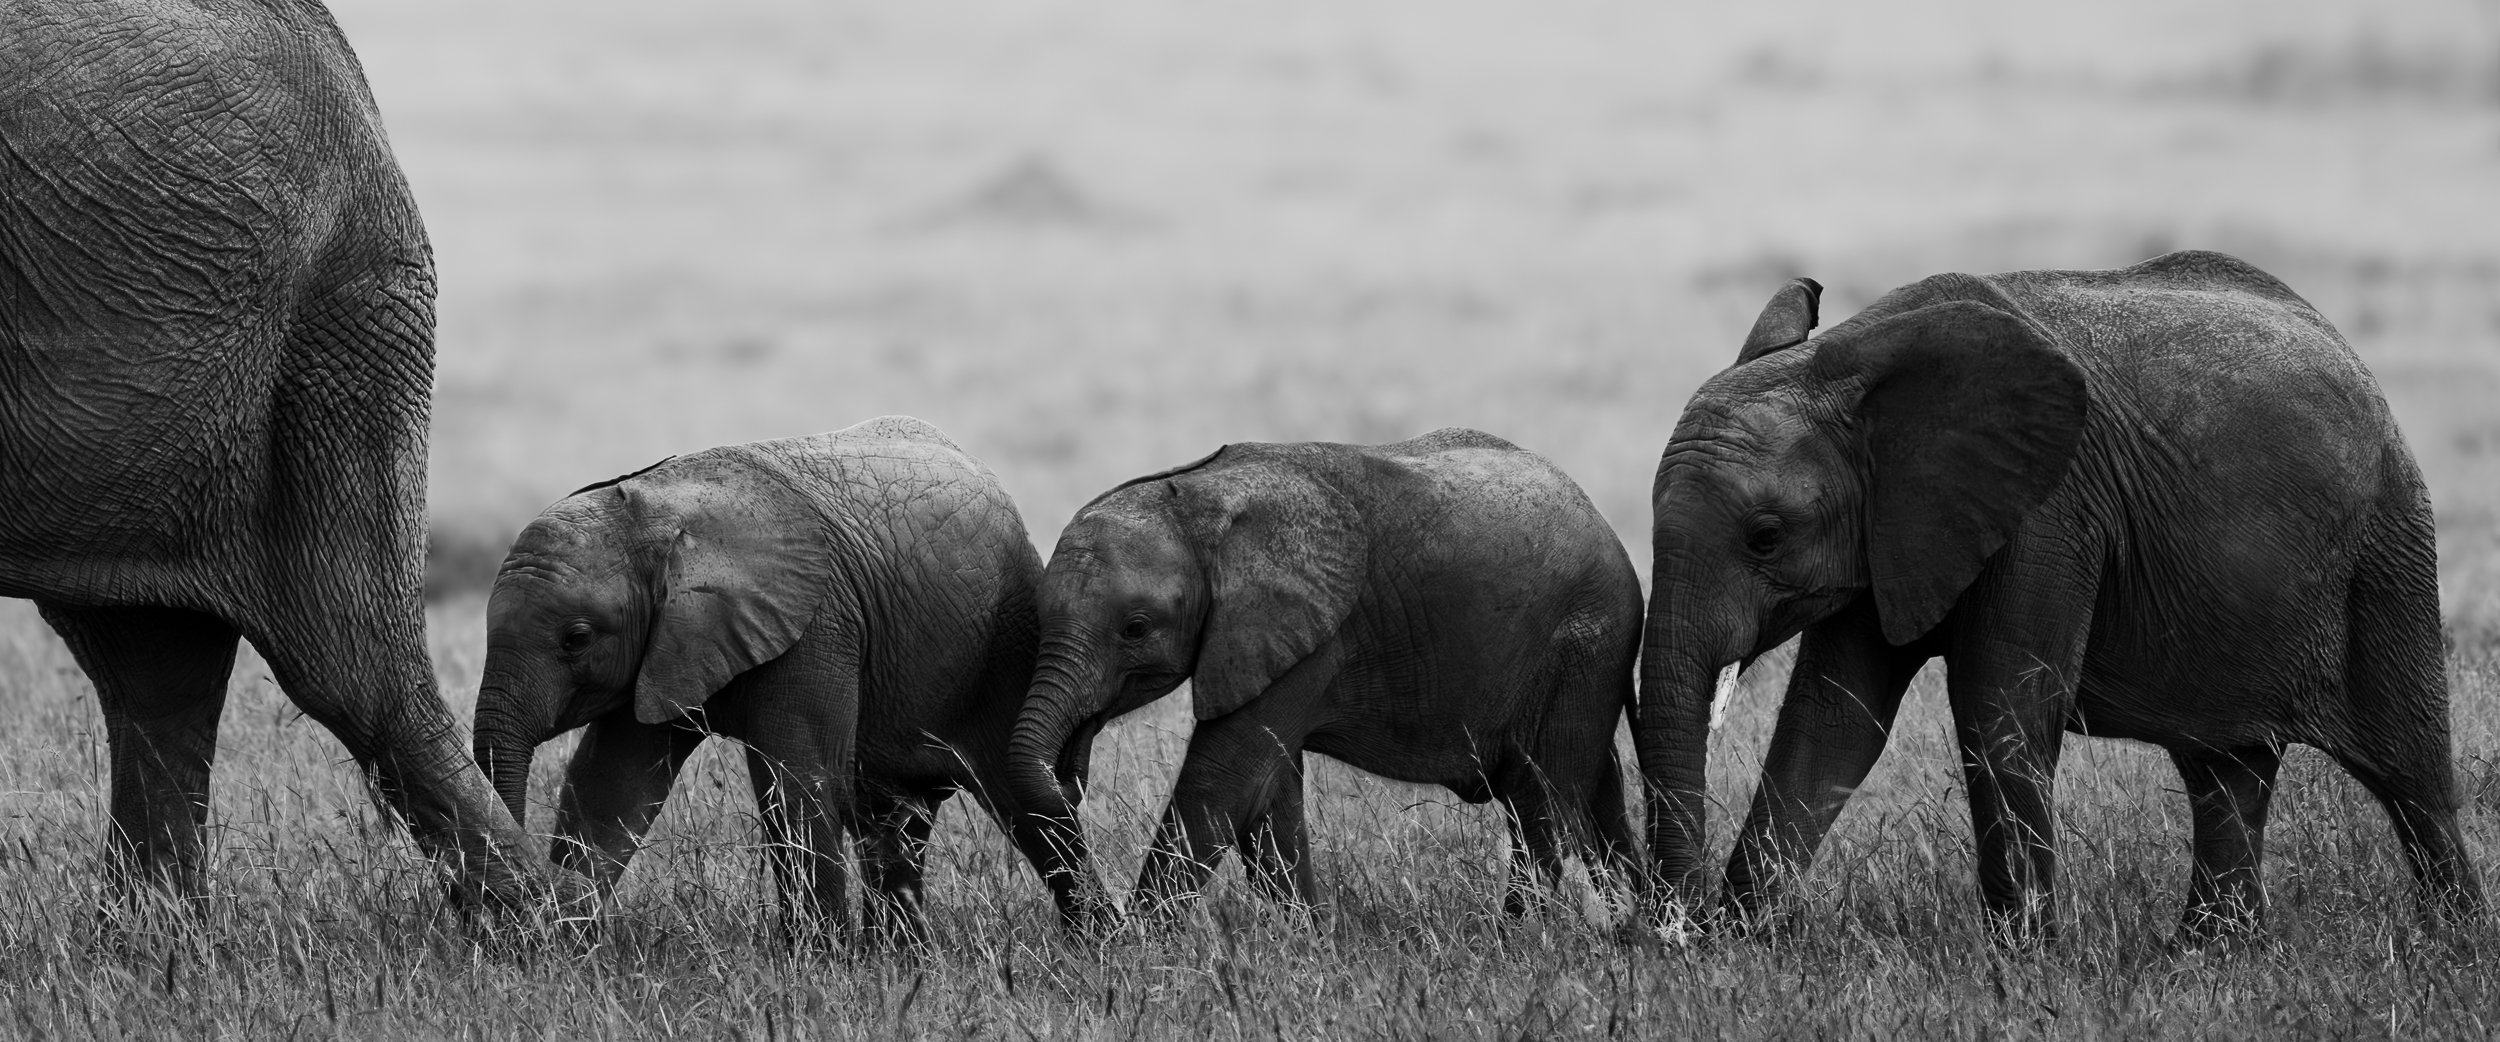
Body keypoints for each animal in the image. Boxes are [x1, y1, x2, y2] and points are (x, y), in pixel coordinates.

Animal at [469, 416, 1053, 945]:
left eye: (577, 638)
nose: (517, 916)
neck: (657, 514)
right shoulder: (664, 649)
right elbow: (611, 786)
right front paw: (564, 942)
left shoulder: (815, 625)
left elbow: (798, 783)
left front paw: (818, 963)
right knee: (895, 821)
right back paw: (902, 964)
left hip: (1004, 644)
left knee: (1028, 801)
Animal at [1007, 428, 1645, 930]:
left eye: (1135, 628)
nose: (1071, 774)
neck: (1198, 499)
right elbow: (1269, 799)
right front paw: (1311, 944)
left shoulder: (1311, 636)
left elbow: (1221, 781)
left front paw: (1135, 955)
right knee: (1595, 787)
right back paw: (1637, 928)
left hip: (1584, 642)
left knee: (1542, 800)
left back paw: (1512, 938)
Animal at [1635, 249, 2482, 944]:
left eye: (1764, 536)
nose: (1674, 929)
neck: (1845, 360)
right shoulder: (1894, 527)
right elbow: (1834, 716)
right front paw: (1739, 944)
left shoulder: (2049, 511)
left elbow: (1998, 705)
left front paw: (2026, 959)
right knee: (2225, 770)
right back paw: (2207, 953)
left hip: (2387, 547)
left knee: (2410, 770)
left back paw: (2451, 944)